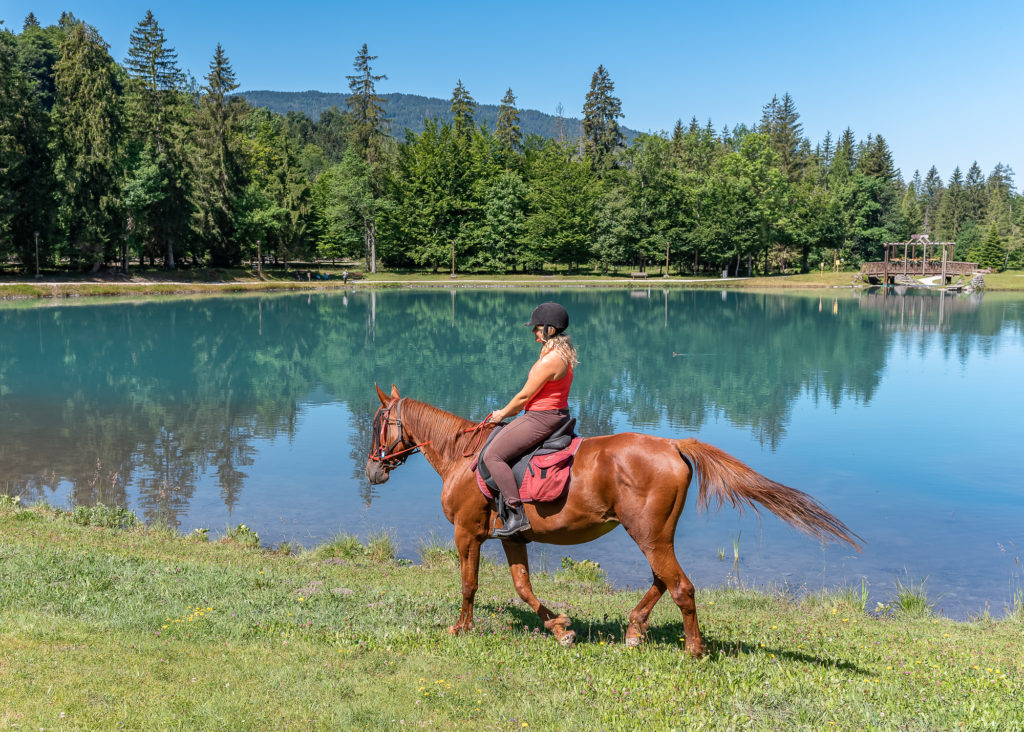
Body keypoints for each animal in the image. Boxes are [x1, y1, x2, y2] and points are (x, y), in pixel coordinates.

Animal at [364, 386, 860, 655]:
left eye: (376, 424)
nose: (372, 471)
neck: (463, 458)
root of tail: (673, 445)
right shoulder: (510, 537)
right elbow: (523, 586)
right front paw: (560, 628)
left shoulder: (466, 532)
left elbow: (469, 584)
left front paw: (461, 628)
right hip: (654, 533)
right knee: (662, 580)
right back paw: (635, 629)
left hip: (648, 533)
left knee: (680, 586)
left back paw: (693, 650)